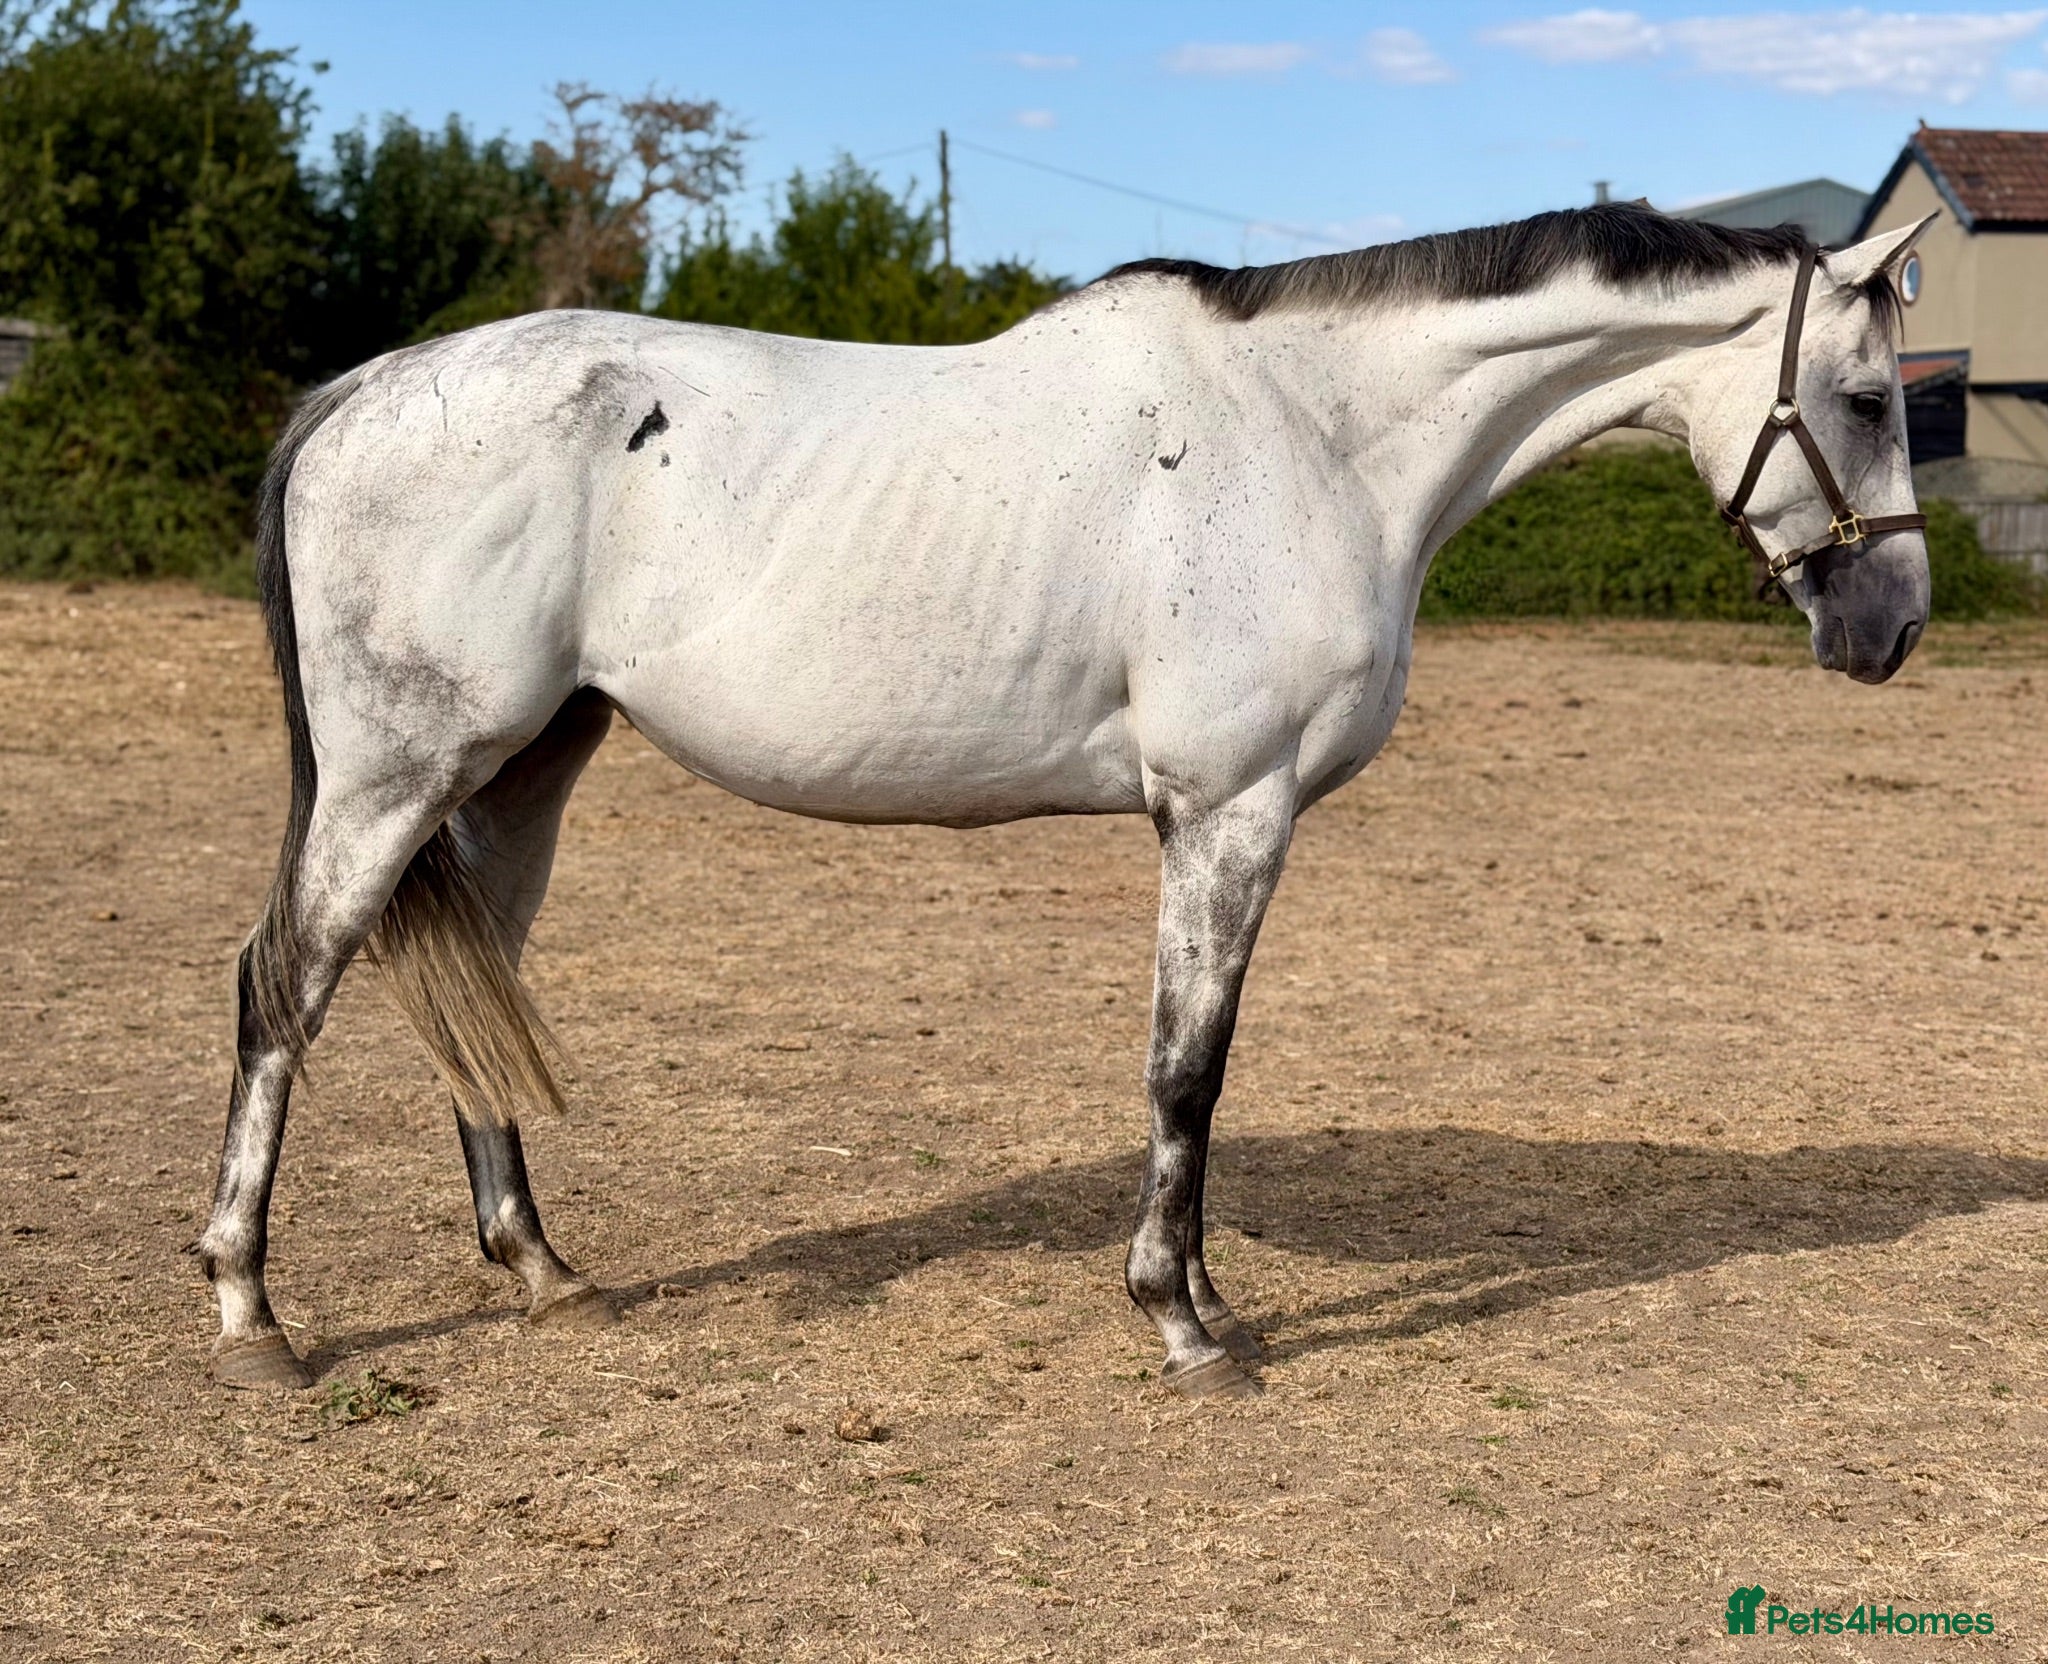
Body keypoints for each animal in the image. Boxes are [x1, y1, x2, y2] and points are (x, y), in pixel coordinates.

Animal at [199, 202, 1934, 1399]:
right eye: (1866, 398)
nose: (1894, 628)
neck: (1315, 434)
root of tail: (364, 390)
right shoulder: (1230, 812)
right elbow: (1187, 1072)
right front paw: (1182, 1324)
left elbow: (1197, 1077)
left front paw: (1210, 1299)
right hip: (396, 774)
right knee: (283, 990)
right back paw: (250, 1309)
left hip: (520, 769)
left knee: (470, 993)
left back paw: (543, 1270)